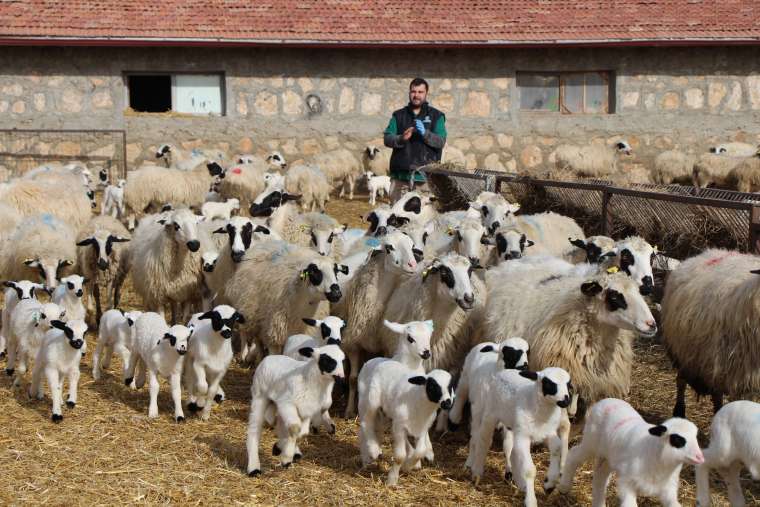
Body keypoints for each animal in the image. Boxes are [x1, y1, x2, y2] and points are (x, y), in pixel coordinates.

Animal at [245, 346, 346, 476]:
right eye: (326, 360)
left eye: (343, 360)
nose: (341, 378)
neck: (308, 380)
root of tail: (269, 357)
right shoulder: (287, 403)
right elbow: (295, 428)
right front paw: (286, 458)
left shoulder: (306, 411)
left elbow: (302, 433)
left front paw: (280, 448)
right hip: (260, 396)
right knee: (255, 427)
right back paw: (254, 467)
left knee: (279, 422)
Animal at [470, 368, 568, 506]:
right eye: (548, 383)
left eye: (569, 384)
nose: (566, 401)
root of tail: (505, 370)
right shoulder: (523, 436)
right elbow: (529, 470)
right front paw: (531, 501)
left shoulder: (549, 433)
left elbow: (557, 448)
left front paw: (549, 483)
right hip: (490, 414)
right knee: (484, 440)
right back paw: (477, 473)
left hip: (513, 426)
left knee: (512, 452)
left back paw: (521, 484)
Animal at [556, 398, 704, 507]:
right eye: (677, 440)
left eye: (695, 437)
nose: (700, 458)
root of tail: (606, 400)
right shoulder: (626, 482)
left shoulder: (668, 489)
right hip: (591, 443)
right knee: (573, 455)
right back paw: (564, 486)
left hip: (609, 456)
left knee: (600, 477)